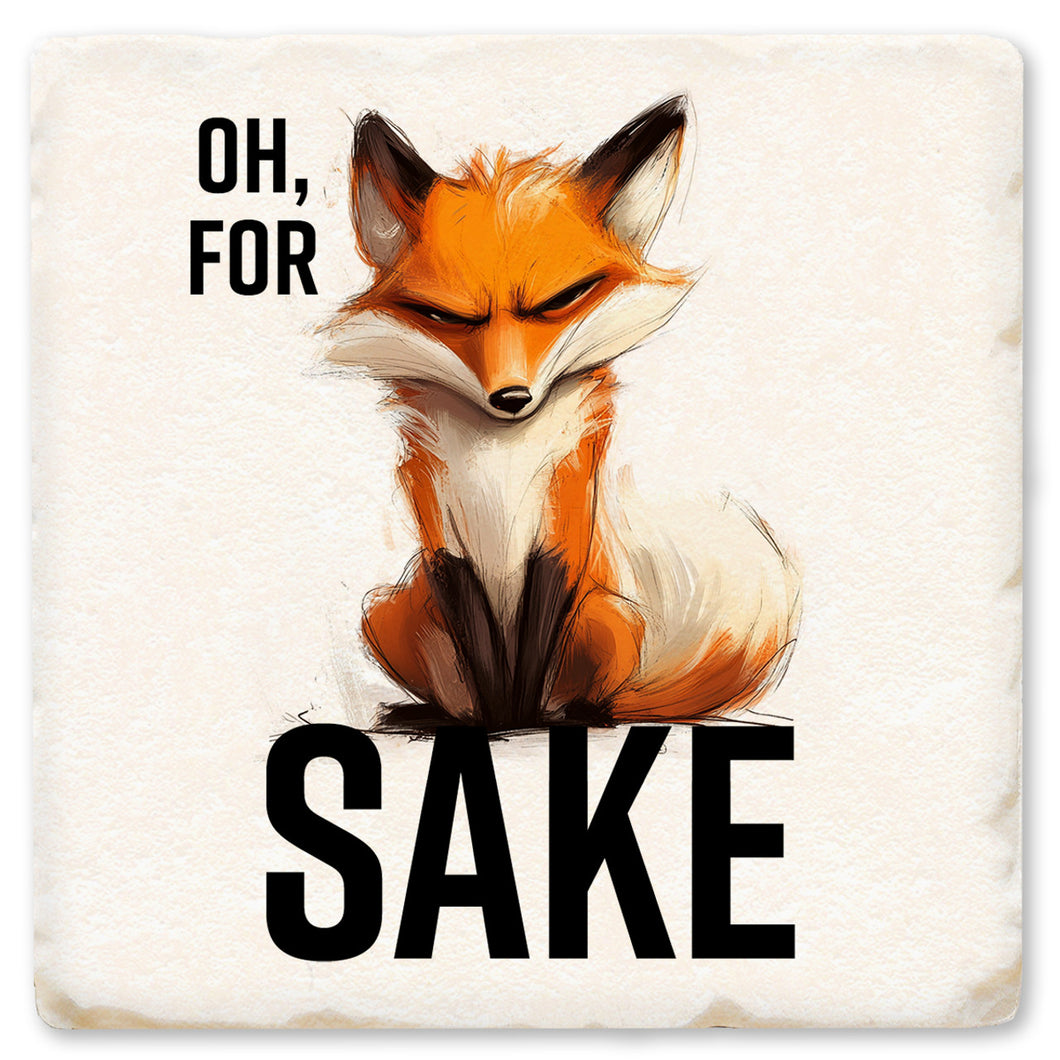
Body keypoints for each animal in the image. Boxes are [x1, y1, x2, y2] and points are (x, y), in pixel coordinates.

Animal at [323, 96, 801, 730]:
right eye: (446, 316)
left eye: (560, 300)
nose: (511, 397)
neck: (502, 461)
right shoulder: (444, 540)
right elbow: (483, 654)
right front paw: (494, 721)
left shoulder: (559, 527)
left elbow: (531, 649)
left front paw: (520, 720)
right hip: (388, 612)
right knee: (446, 684)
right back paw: (434, 715)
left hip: (606, 621)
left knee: (599, 694)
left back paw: (577, 714)